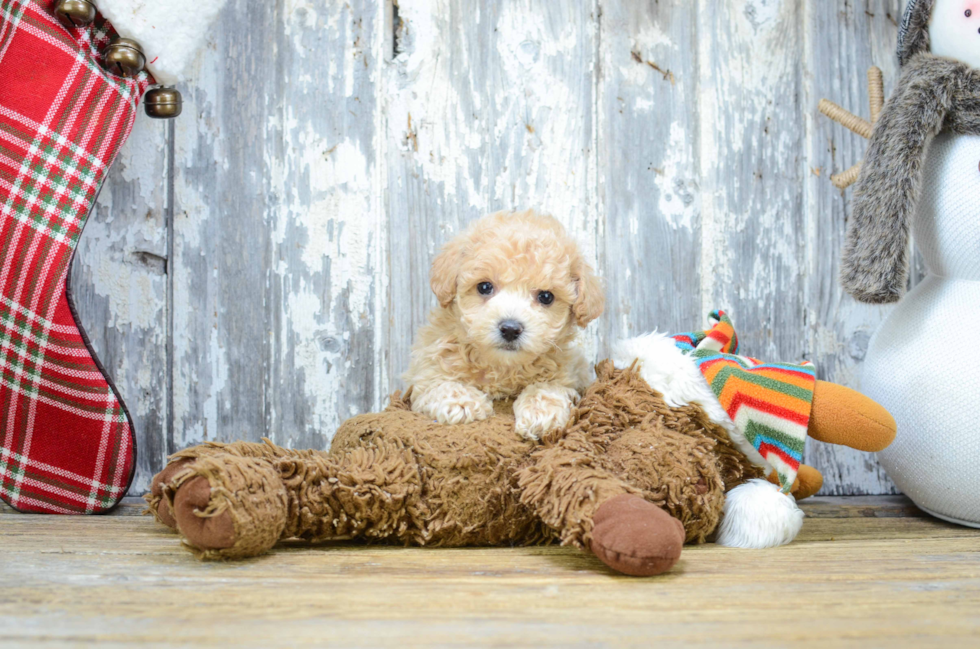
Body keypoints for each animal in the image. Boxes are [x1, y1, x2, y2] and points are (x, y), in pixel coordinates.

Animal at [400, 210, 600, 438]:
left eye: (546, 297)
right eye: (485, 287)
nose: (510, 329)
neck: (501, 367)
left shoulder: (570, 375)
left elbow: (549, 388)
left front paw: (540, 412)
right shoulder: (425, 374)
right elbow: (439, 385)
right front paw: (463, 402)